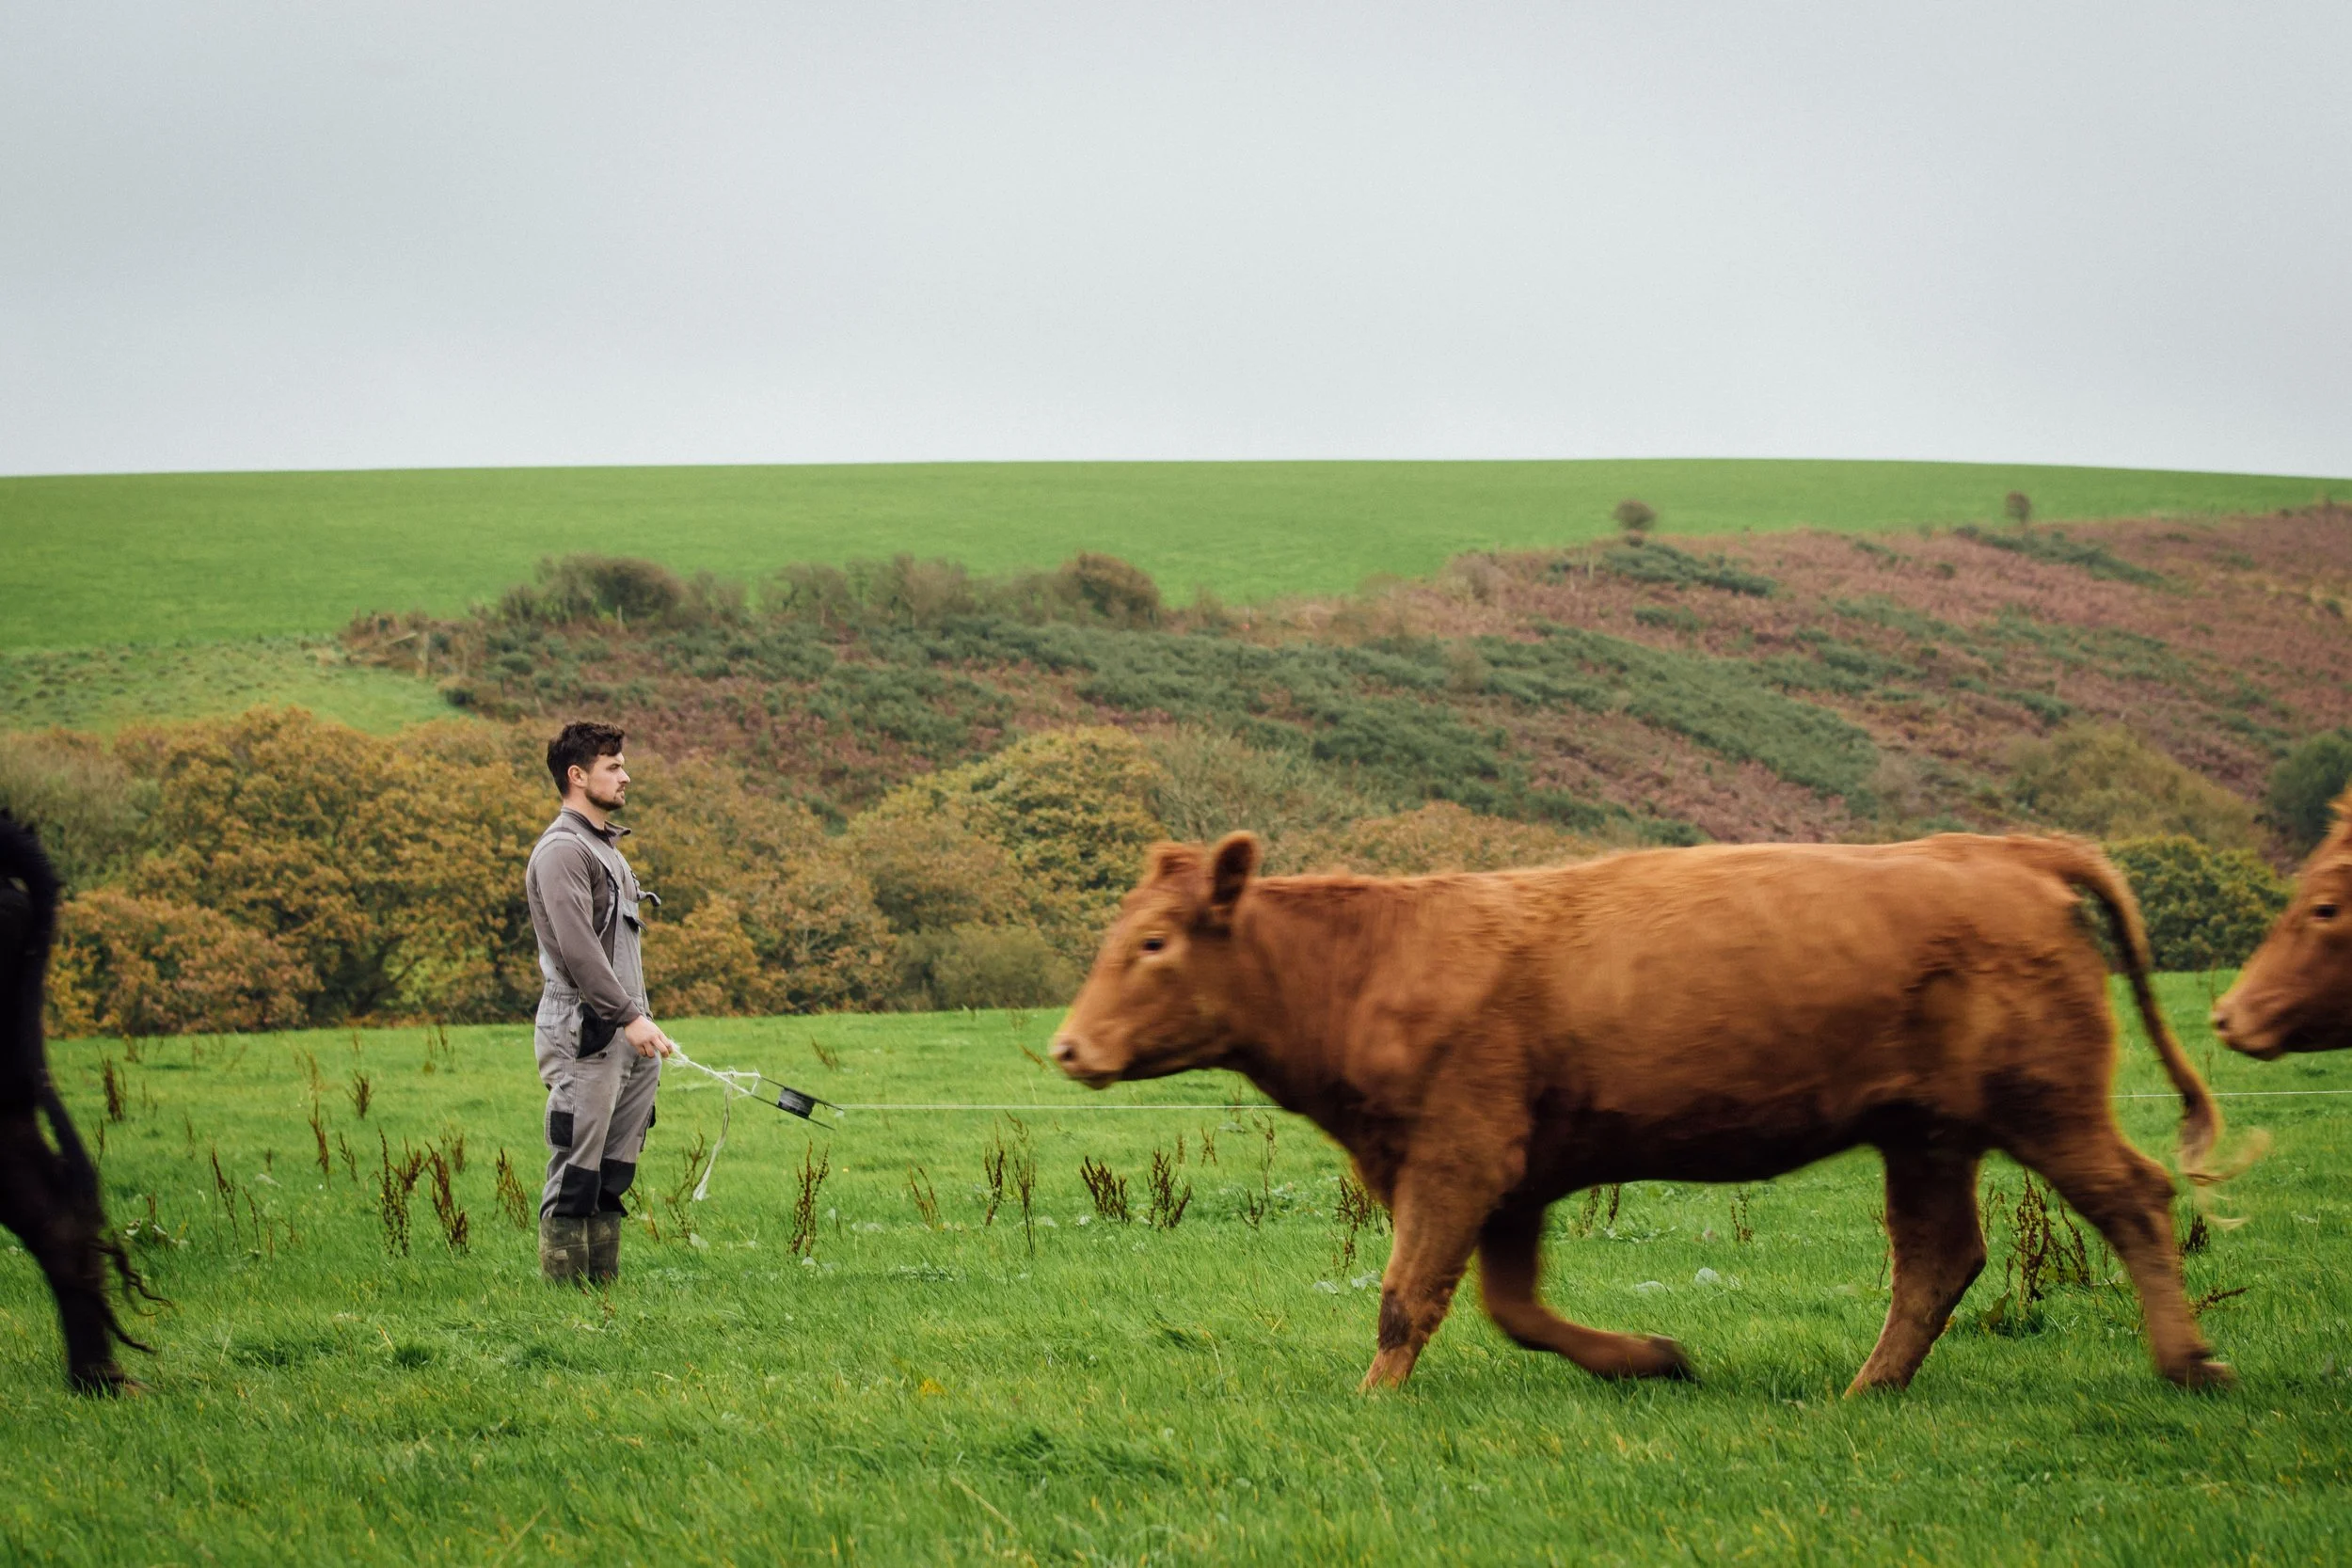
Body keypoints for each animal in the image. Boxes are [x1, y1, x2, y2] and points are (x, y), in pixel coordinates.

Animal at [1053, 831, 2234, 1394]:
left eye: (1152, 942)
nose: (1068, 1044)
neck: (1372, 962)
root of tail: (2004, 849)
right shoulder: (1510, 1179)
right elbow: (1513, 1308)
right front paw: (1651, 1356)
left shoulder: (1458, 1157)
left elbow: (1404, 1298)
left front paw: (1372, 1396)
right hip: (1925, 1132)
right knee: (1938, 1257)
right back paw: (1867, 1388)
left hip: (2044, 1100)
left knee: (2132, 1198)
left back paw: (2188, 1362)